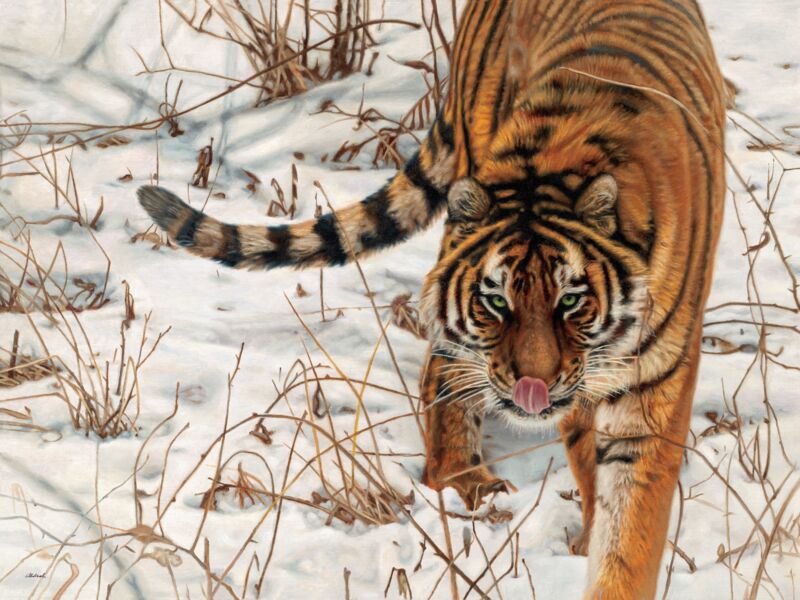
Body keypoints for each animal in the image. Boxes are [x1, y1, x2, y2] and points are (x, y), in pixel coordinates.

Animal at [138, 0, 726, 597]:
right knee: (443, 379)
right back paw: (468, 487)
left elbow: (629, 522)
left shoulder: (649, 388)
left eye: (569, 301)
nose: (532, 387)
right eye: (497, 303)